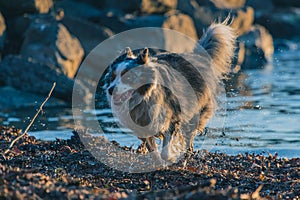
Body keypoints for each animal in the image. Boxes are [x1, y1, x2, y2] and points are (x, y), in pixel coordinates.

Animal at [103, 21, 237, 163]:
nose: (110, 90)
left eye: (128, 77)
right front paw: (158, 161)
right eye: (112, 77)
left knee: (189, 135)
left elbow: (166, 150)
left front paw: (171, 156)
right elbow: (153, 150)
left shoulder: (173, 116)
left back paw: (187, 154)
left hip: (196, 109)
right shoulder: (143, 127)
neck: (144, 98)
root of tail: (199, 57)